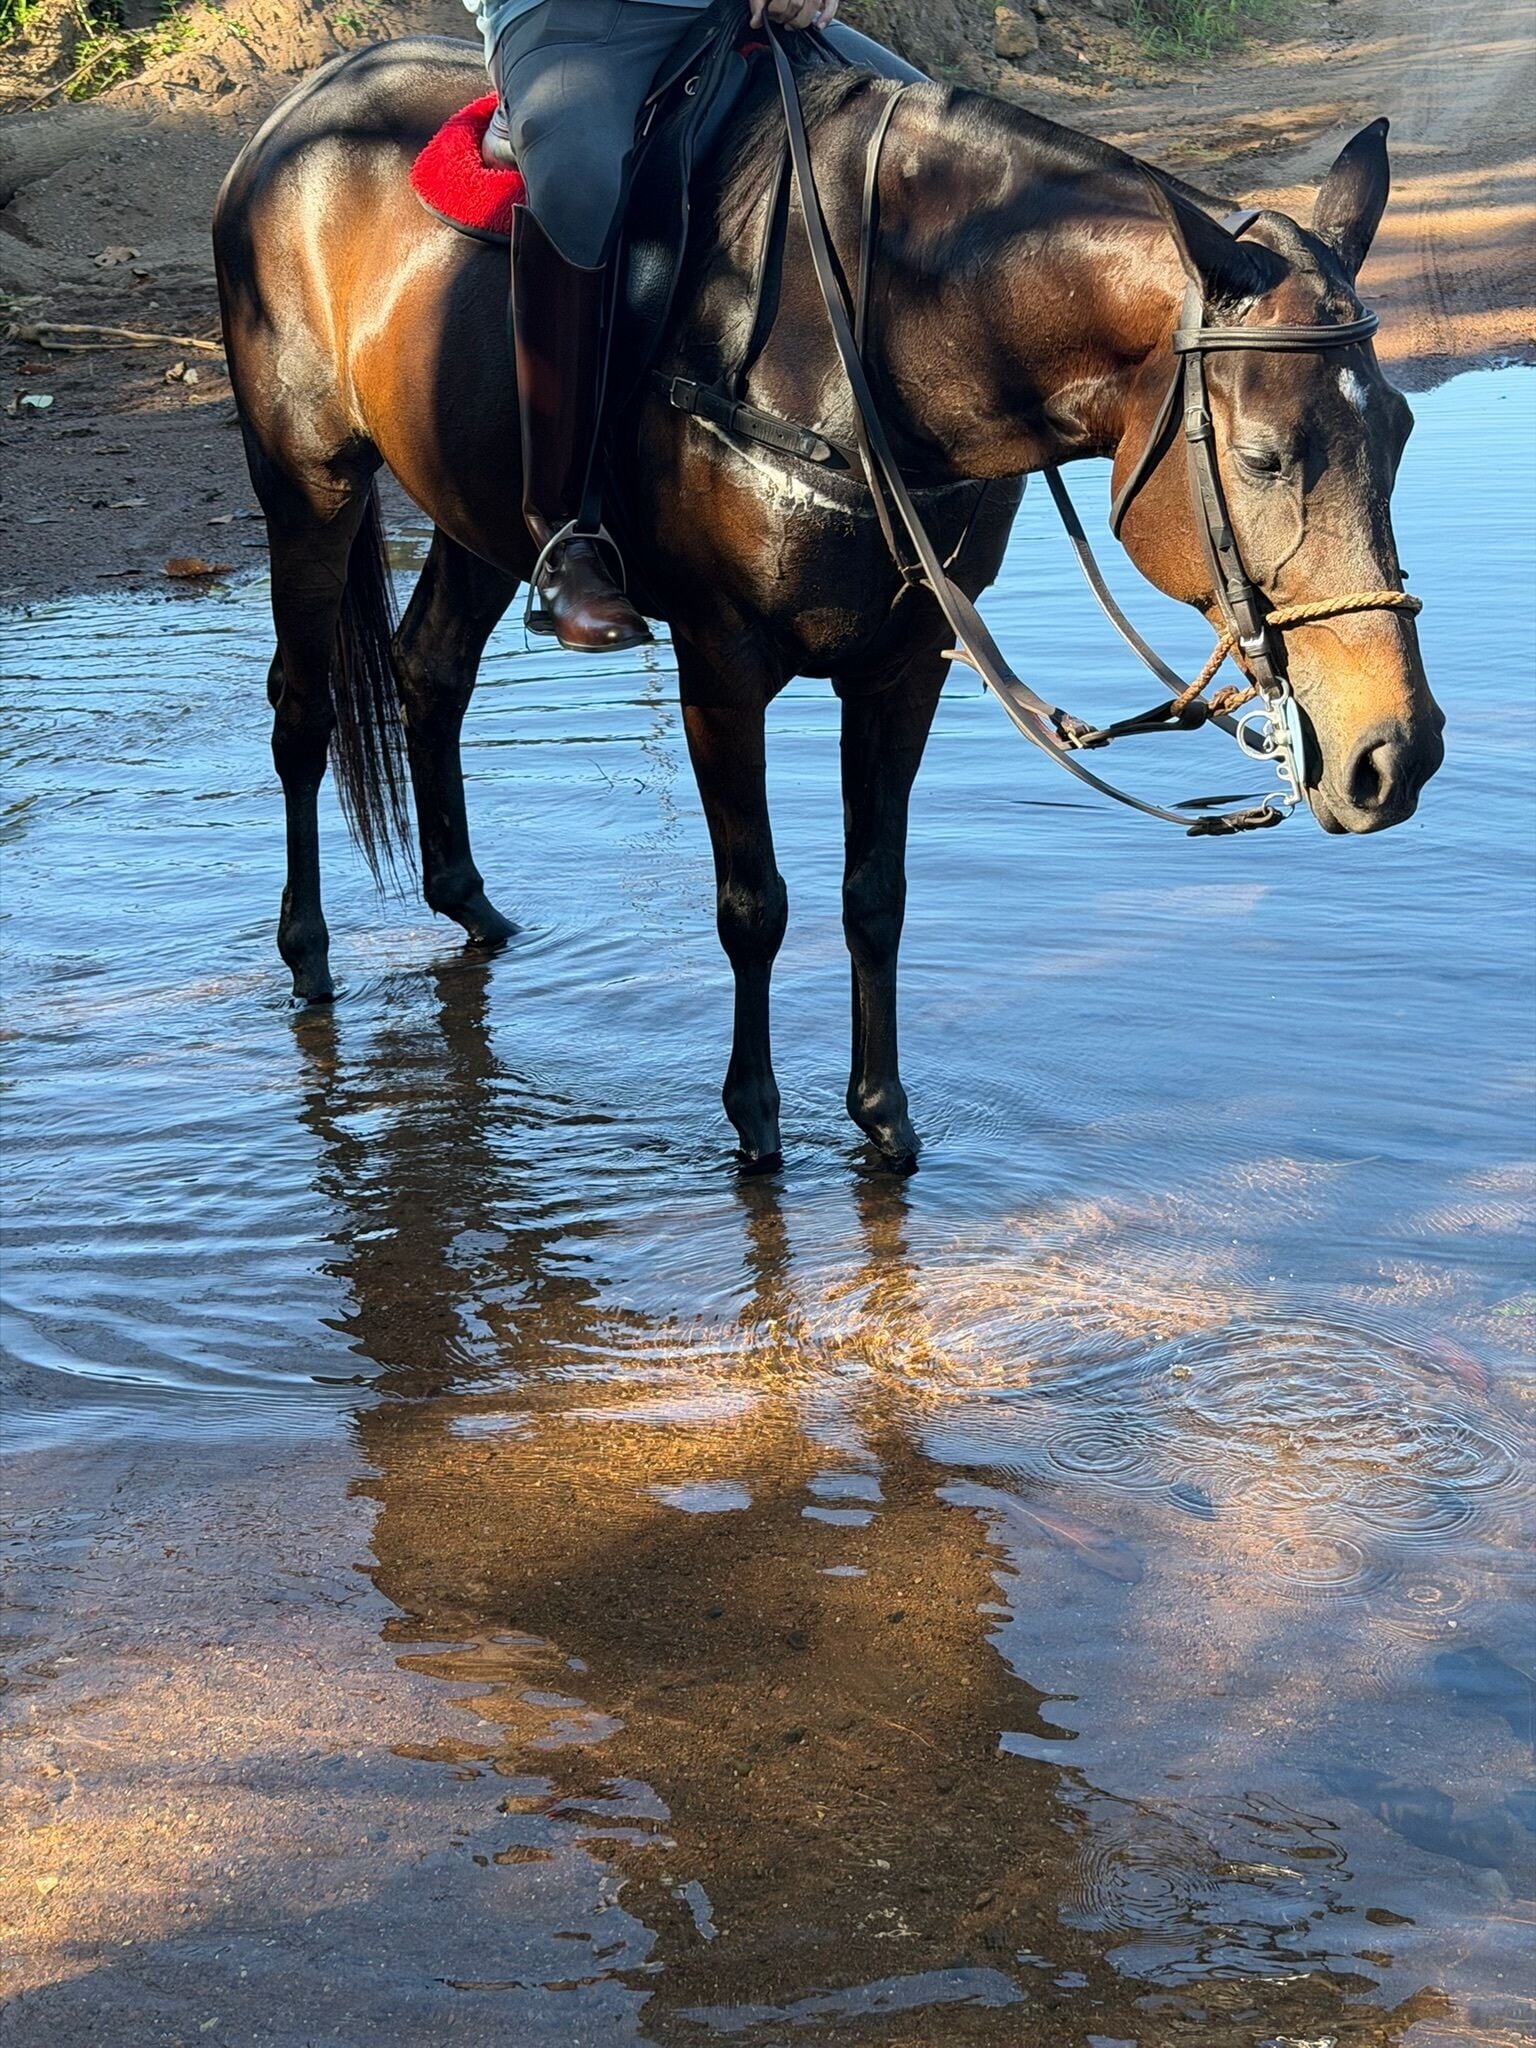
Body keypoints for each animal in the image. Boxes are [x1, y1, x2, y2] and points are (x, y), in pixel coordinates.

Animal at [213, 30, 1443, 1173]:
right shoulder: (721, 666)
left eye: (1399, 435)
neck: (882, 333)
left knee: (430, 668)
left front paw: (882, 1118)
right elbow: (754, 905)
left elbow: (875, 894)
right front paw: (755, 1124)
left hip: (480, 518)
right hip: (309, 486)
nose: (1397, 753)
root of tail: (298, 113)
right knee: (301, 714)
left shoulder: (905, 667)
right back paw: (308, 952)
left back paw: (471, 906)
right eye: (1267, 457)